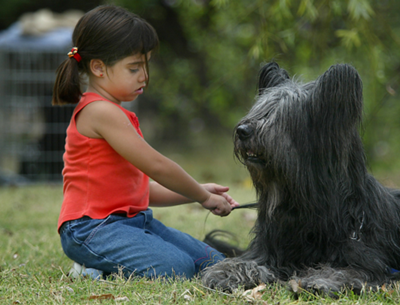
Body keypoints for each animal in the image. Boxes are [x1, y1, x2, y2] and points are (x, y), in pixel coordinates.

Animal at [202, 61, 400, 294]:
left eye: (282, 116)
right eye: (260, 109)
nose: (242, 130)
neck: (302, 206)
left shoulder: (368, 260)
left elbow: (349, 271)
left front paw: (320, 280)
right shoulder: (269, 251)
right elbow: (246, 262)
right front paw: (225, 272)